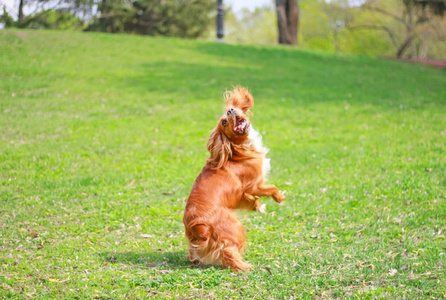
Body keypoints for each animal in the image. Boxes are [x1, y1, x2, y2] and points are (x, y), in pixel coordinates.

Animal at [182, 86, 284, 272]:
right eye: (224, 122)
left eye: (230, 112)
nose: (230, 110)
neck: (238, 151)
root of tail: (199, 226)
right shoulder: (254, 184)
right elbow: (271, 188)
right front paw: (279, 197)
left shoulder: (243, 194)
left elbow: (253, 199)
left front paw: (257, 206)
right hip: (234, 227)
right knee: (229, 251)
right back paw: (245, 266)